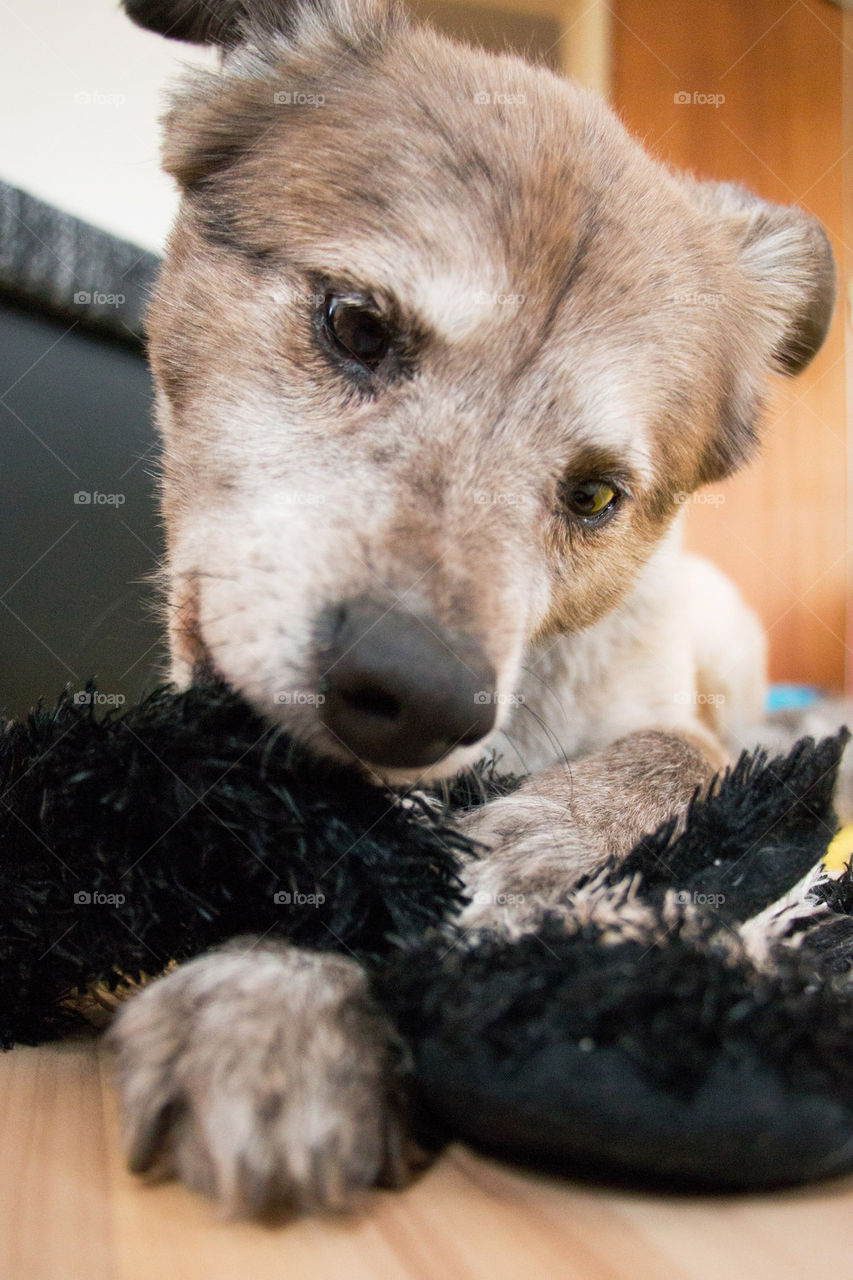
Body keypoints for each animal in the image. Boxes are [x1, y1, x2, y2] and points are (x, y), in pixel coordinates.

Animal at [106, 0, 829, 1213]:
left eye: (595, 495)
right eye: (355, 324)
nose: (421, 700)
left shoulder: (667, 719)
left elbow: (678, 757)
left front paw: (538, 849)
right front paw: (273, 991)